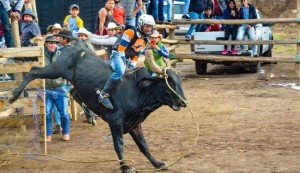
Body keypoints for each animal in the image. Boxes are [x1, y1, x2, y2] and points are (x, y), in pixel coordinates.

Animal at [8, 45, 188, 172]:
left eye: (179, 80)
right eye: (169, 82)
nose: (184, 102)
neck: (138, 91)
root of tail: (71, 48)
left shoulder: (135, 124)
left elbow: (144, 145)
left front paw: (158, 163)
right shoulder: (115, 121)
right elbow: (119, 144)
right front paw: (125, 167)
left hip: (71, 81)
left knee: (73, 92)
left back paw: (90, 114)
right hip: (56, 69)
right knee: (33, 71)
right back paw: (13, 96)